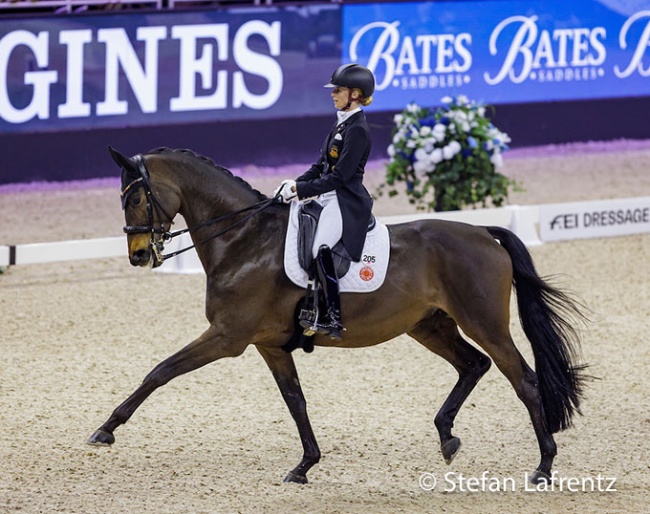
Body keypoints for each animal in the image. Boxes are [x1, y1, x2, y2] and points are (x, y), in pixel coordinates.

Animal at [88, 146, 588, 482]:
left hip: (484, 323)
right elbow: (296, 402)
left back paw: (543, 466)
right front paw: (305, 465)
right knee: (473, 365)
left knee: (523, 379)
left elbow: (160, 370)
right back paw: (447, 437)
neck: (244, 240)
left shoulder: (228, 337)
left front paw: (106, 430)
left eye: (135, 198)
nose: (138, 256)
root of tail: (484, 232)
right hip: (429, 326)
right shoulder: (268, 344)